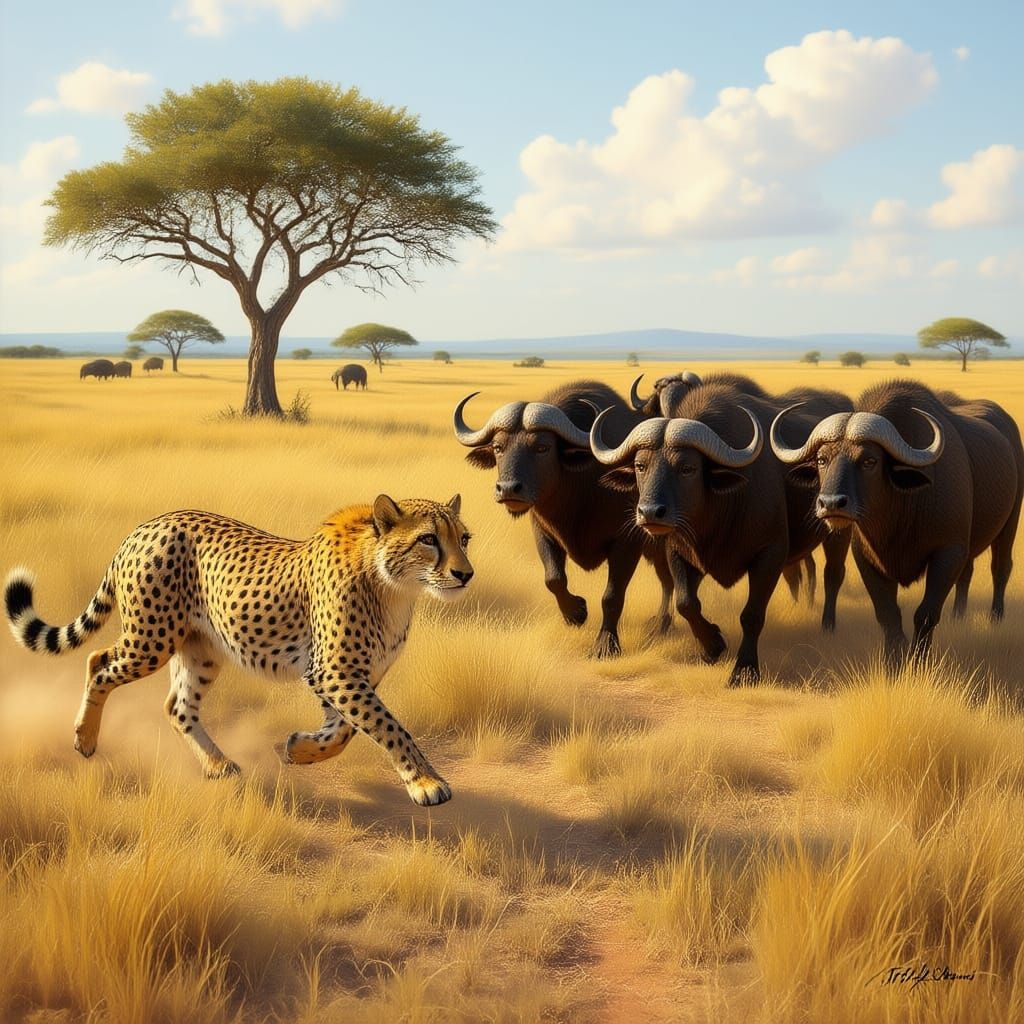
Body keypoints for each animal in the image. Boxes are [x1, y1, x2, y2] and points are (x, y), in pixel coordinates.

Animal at [3, 494, 473, 806]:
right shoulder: (335, 672)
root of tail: (147, 525)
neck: (393, 585)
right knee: (98, 661)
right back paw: (84, 739)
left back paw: (216, 764)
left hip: (202, 649)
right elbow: (388, 726)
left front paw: (299, 749)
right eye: (429, 539)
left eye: (464, 538)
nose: (465, 574)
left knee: (177, 706)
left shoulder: (347, 676)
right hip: (151, 639)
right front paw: (426, 783)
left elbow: (343, 731)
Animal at [454, 381, 674, 657]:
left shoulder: (627, 543)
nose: (508, 489)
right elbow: (554, 579)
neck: (579, 490)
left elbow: (612, 595)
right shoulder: (544, 533)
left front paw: (605, 644)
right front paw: (576, 612)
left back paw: (662, 623)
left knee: (668, 580)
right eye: (498, 447)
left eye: (542, 447)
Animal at [590, 381, 853, 685]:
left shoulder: (770, 554)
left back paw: (827, 625)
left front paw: (744, 669)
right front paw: (712, 645)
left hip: (839, 530)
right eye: (640, 465)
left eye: (687, 468)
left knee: (833, 574)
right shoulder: (678, 551)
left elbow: (752, 615)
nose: (650, 512)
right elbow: (686, 603)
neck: (717, 513)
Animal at [770, 380, 1023, 665]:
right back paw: (959, 616)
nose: (831, 504)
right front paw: (894, 659)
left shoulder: (948, 552)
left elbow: (926, 613)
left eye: (870, 460)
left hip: (1010, 523)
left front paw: (919, 659)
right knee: (967, 574)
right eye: (822, 459)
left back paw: (995, 618)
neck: (899, 512)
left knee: (1000, 568)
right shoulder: (866, 557)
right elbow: (887, 613)